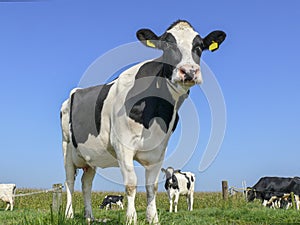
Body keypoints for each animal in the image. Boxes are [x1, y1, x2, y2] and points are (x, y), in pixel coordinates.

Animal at [60, 18, 225, 223]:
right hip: (67, 147)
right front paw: (131, 218)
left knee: (86, 183)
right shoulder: (123, 146)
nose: (188, 71)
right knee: (69, 181)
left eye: (200, 46)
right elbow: (131, 184)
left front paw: (153, 218)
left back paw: (89, 217)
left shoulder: (159, 150)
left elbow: (151, 186)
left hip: (90, 157)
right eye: (167, 45)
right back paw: (68, 214)